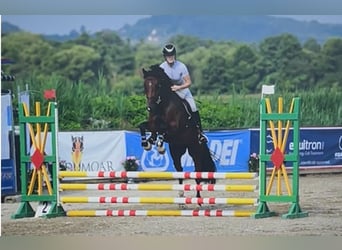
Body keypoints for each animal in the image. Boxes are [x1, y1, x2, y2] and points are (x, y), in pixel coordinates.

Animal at [138, 64, 215, 199]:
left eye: (158, 85)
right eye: (145, 85)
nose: (150, 107)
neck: (162, 105)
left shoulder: (174, 129)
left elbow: (163, 130)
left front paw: (159, 146)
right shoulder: (152, 125)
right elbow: (143, 126)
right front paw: (147, 143)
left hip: (195, 150)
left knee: (198, 172)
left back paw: (198, 197)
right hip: (176, 150)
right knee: (179, 169)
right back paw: (180, 193)